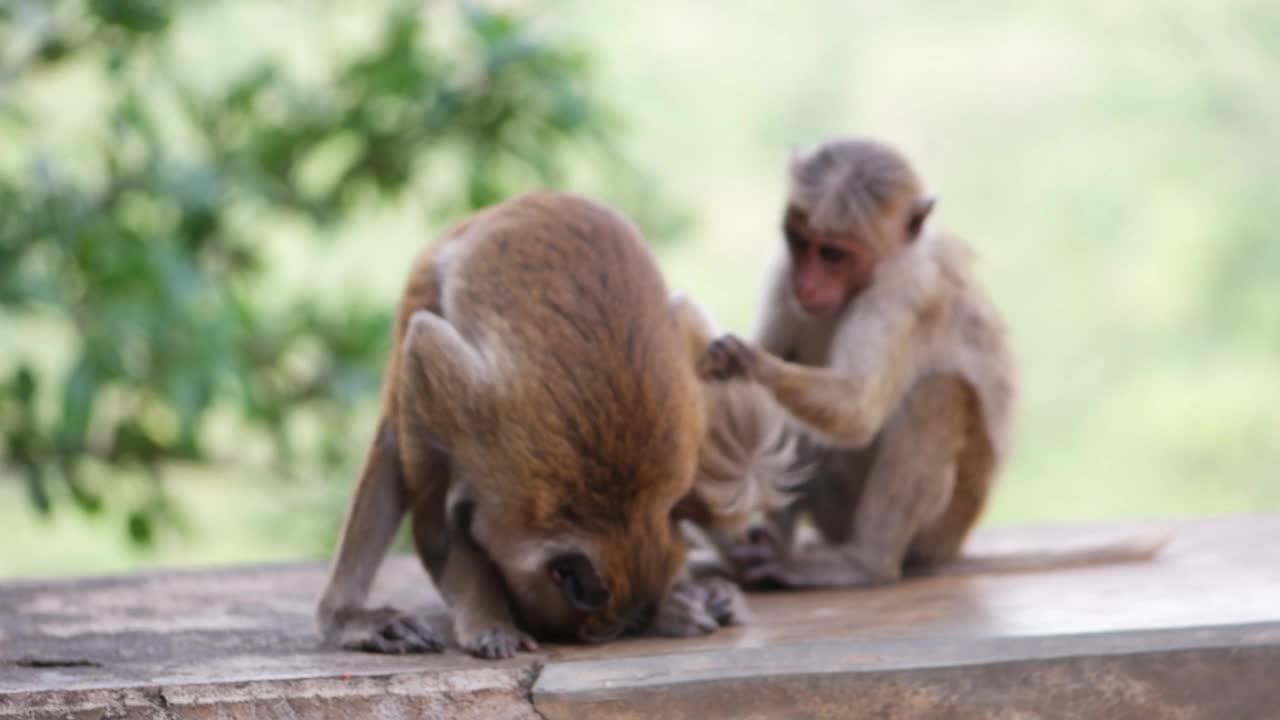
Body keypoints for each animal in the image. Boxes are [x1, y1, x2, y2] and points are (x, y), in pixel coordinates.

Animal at [312, 189, 742, 655]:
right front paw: (487, 616)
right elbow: (437, 524)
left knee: (687, 317)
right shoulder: (483, 431)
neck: (615, 511)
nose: (536, 624)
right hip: (425, 281)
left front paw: (674, 602)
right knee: (401, 410)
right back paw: (344, 616)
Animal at [696, 139, 1167, 589]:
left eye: (832, 254)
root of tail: (954, 546)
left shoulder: (906, 289)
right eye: (798, 241)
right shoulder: (782, 273)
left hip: (945, 522)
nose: (807, 285)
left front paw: (747, 362)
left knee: (940, 394)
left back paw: (865, 562)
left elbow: (858, 410)